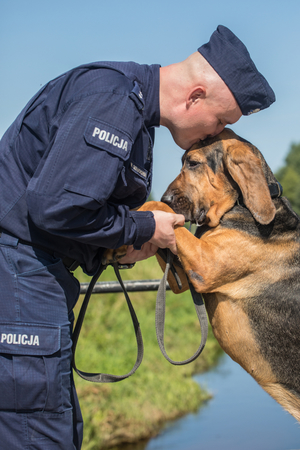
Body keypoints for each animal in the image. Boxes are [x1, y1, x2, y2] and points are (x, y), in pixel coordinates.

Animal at [105, 129, 300, 422]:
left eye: (193, 163)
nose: (168, 197)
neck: (239, 205)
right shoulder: (182, 276)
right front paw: (117, 246)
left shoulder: (204, 263)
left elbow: (157, 208)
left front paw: (146, 211)